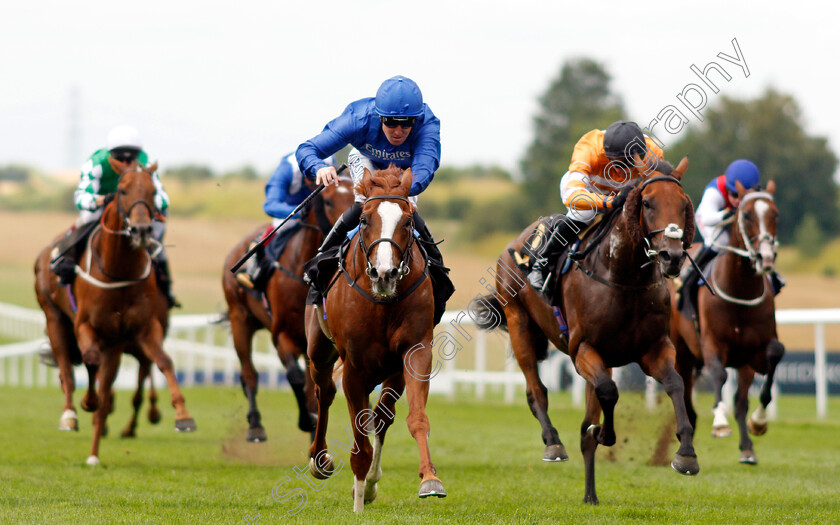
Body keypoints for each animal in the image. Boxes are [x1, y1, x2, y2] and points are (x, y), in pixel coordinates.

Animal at [34, 162, 195, 464]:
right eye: (122, 190)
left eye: (153, 191)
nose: (142, 230)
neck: (119, 269)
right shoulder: (85, 326)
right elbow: (89, 361)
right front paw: (87, 402)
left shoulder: (143, 330)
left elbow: (164, 362)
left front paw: (182, 415)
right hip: (54, 317)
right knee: (67, 370)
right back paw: (70, 414)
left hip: (116, 345)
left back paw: (94, 453)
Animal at [220, 175, 354, 438]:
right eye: (328, 201)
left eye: (356, 196)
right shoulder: (281, 334)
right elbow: (296, 377)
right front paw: (306, 421)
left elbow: (314, 386)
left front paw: (314, 427)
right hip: (240, 318)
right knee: (249, 374)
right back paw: (255, 425)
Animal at [304, 165, 446, 512]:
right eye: (365, 220)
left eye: (407, 222)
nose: (385, 274)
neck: (383, 303)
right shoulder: (354, 368)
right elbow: (359, 439)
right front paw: (357, 502)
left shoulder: (415, 351)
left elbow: (414, 418)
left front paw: (429, 478)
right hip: (319, 351)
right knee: (324, 392)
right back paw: (320, 460)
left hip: (391, 369)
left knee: (381, 416)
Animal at [476, 157, 700, 504]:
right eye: (648, 203)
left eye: (683, 204)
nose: (672, 257)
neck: (623, 278)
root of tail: (515, 244)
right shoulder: (582, 349)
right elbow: (608, 392)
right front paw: (603, 433)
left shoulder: (654, 348)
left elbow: (675, 384)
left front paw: (686, 453)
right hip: (519, 323)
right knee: (536, 390)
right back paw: (553, 442)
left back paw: (590, 494)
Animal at [672, 180, 784, 462]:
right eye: (747, 215)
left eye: (775, 214)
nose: (765, 258)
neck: (740, 290)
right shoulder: (711, 343)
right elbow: (719, 373)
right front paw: (720, 422)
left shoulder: (753, 352)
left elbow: (775, 355)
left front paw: (759, 422)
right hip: (682, 353)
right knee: (687, 398)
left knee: (739, 402)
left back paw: (746, 448)